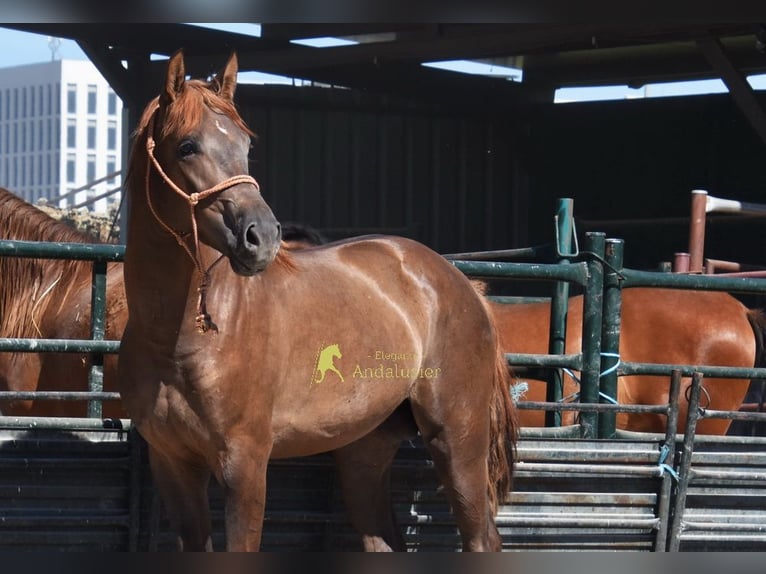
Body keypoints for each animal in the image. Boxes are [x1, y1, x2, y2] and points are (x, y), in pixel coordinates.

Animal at [116, 50, 517, 552]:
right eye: (187, 146)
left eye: (245, 145)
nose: (262, 236)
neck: (182, 336)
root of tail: (463, 285)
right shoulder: (173, 465)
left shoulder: (244, 463)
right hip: (364, 449)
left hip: (457, 438)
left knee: (481, 537)